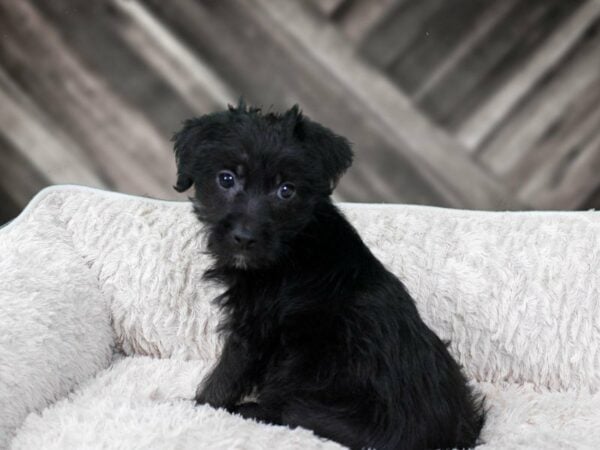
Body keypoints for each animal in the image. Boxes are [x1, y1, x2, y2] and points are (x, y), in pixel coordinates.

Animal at [172, 103, 482, 450]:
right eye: (226, 179)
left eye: (286, 190)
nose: (244, 238)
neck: (295, 244)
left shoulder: (253, 329)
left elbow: (225, 376)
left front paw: (196, 406)